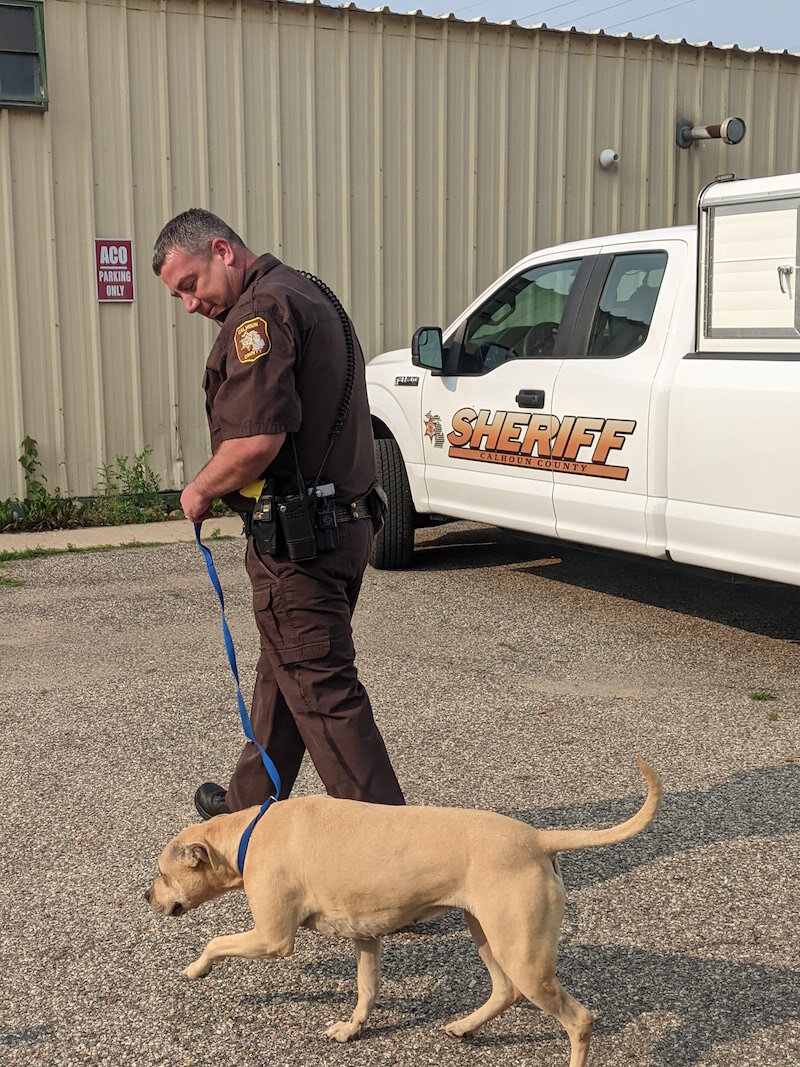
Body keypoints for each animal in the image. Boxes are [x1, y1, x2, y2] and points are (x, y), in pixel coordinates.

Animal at [147, 759, 661, 1067]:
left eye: (161, 872)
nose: (146, 897)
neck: (249, 833)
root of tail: (538, 839)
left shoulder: (273, 937)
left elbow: (215, 941)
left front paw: (195, 969)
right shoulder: (366, 936)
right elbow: (367, 990)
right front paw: (351, 1029)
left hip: (523, 952)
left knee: (579, 1019)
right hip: (489, 934)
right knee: (505, 990)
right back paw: (463, 1026)